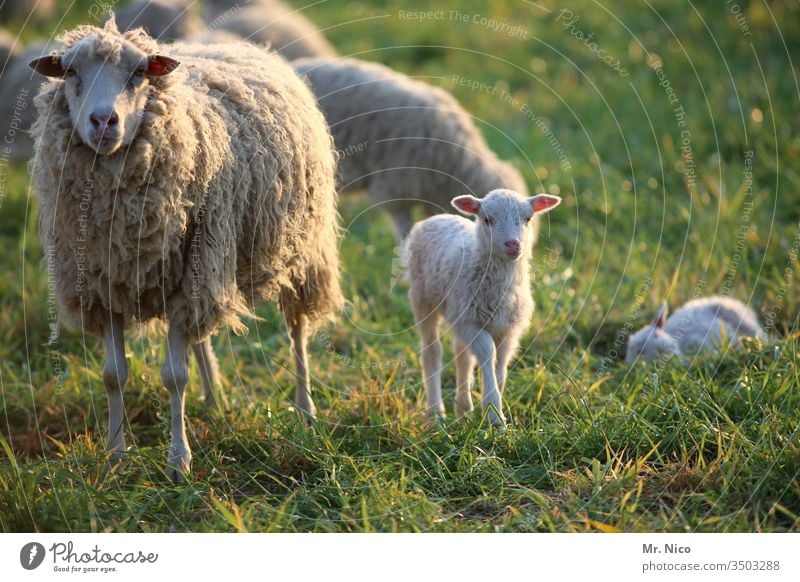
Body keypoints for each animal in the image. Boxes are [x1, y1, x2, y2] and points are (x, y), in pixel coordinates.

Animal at [30, 19, 344, 484]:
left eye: (139, 73)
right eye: (69, 72)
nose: (103, 121)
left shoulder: (188, 276)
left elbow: (174, 377)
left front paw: (178, 463)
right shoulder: (105, 285)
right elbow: (113, 376)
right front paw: (115, 457)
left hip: (297, 251)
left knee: (297, 329)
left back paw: (306, 411)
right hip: (204, 266)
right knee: (201, 338)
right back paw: (214, 403)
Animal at [404, 189, 560, 426]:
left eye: (528, 219)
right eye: (487, 219)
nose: (513, 245)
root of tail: (436, 218)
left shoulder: (508, 329)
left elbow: (501, 366)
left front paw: (493, 407)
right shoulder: (471, 322)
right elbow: (487, 353)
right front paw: (495, 415)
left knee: (462, 354)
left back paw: (463, 408)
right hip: (423, 299)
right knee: (432, 352)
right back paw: (436, 413)